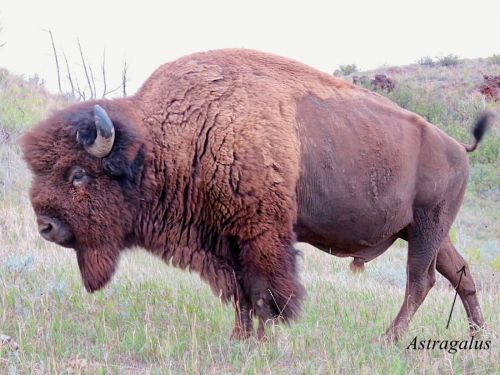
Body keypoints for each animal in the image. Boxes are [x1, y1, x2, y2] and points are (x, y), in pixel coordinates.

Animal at [21, 49, 486, 340]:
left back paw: (387, 338)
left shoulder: (261, 234)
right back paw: (477, 338)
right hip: (426, 231)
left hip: (427, 225)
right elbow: (241, 293)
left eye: (78, 174)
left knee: (420, 280)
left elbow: (267, 292)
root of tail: (457, 147)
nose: (45, 226)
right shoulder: (224, 241)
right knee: (459, 274)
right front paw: (240, 338)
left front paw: (263, 340)